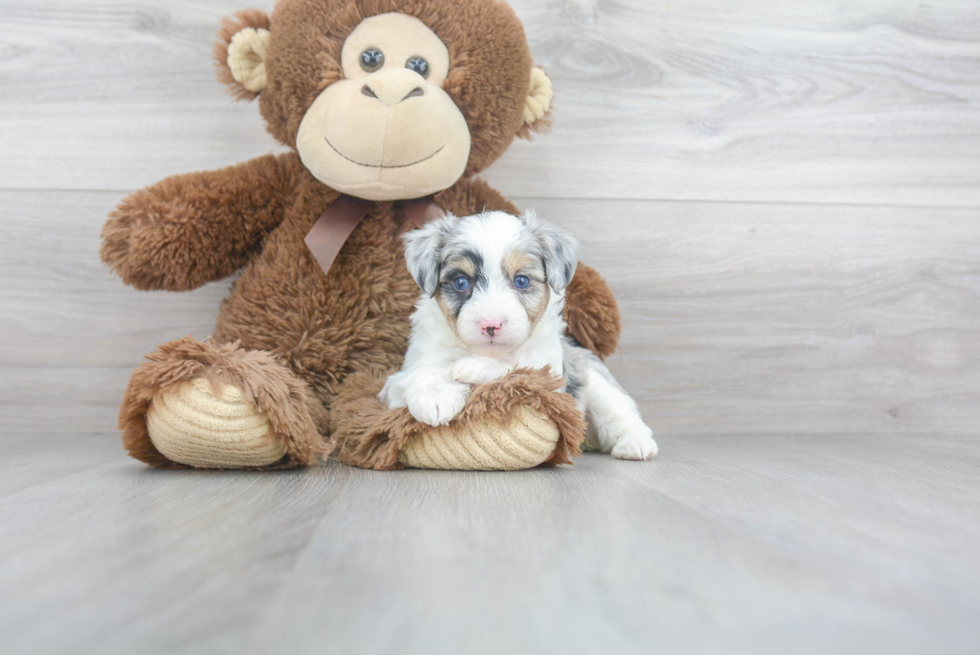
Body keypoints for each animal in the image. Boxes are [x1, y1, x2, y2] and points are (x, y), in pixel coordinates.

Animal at [380, 211, 660, 462]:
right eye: (460, 282)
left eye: (522, 280)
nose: (490, 325)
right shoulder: (401, 378)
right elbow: (424, 373)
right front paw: (435, 398)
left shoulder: (548, 373)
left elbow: (515, 366)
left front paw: (474, 367)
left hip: (599, 387)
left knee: (623, 416)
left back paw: (636, 444)